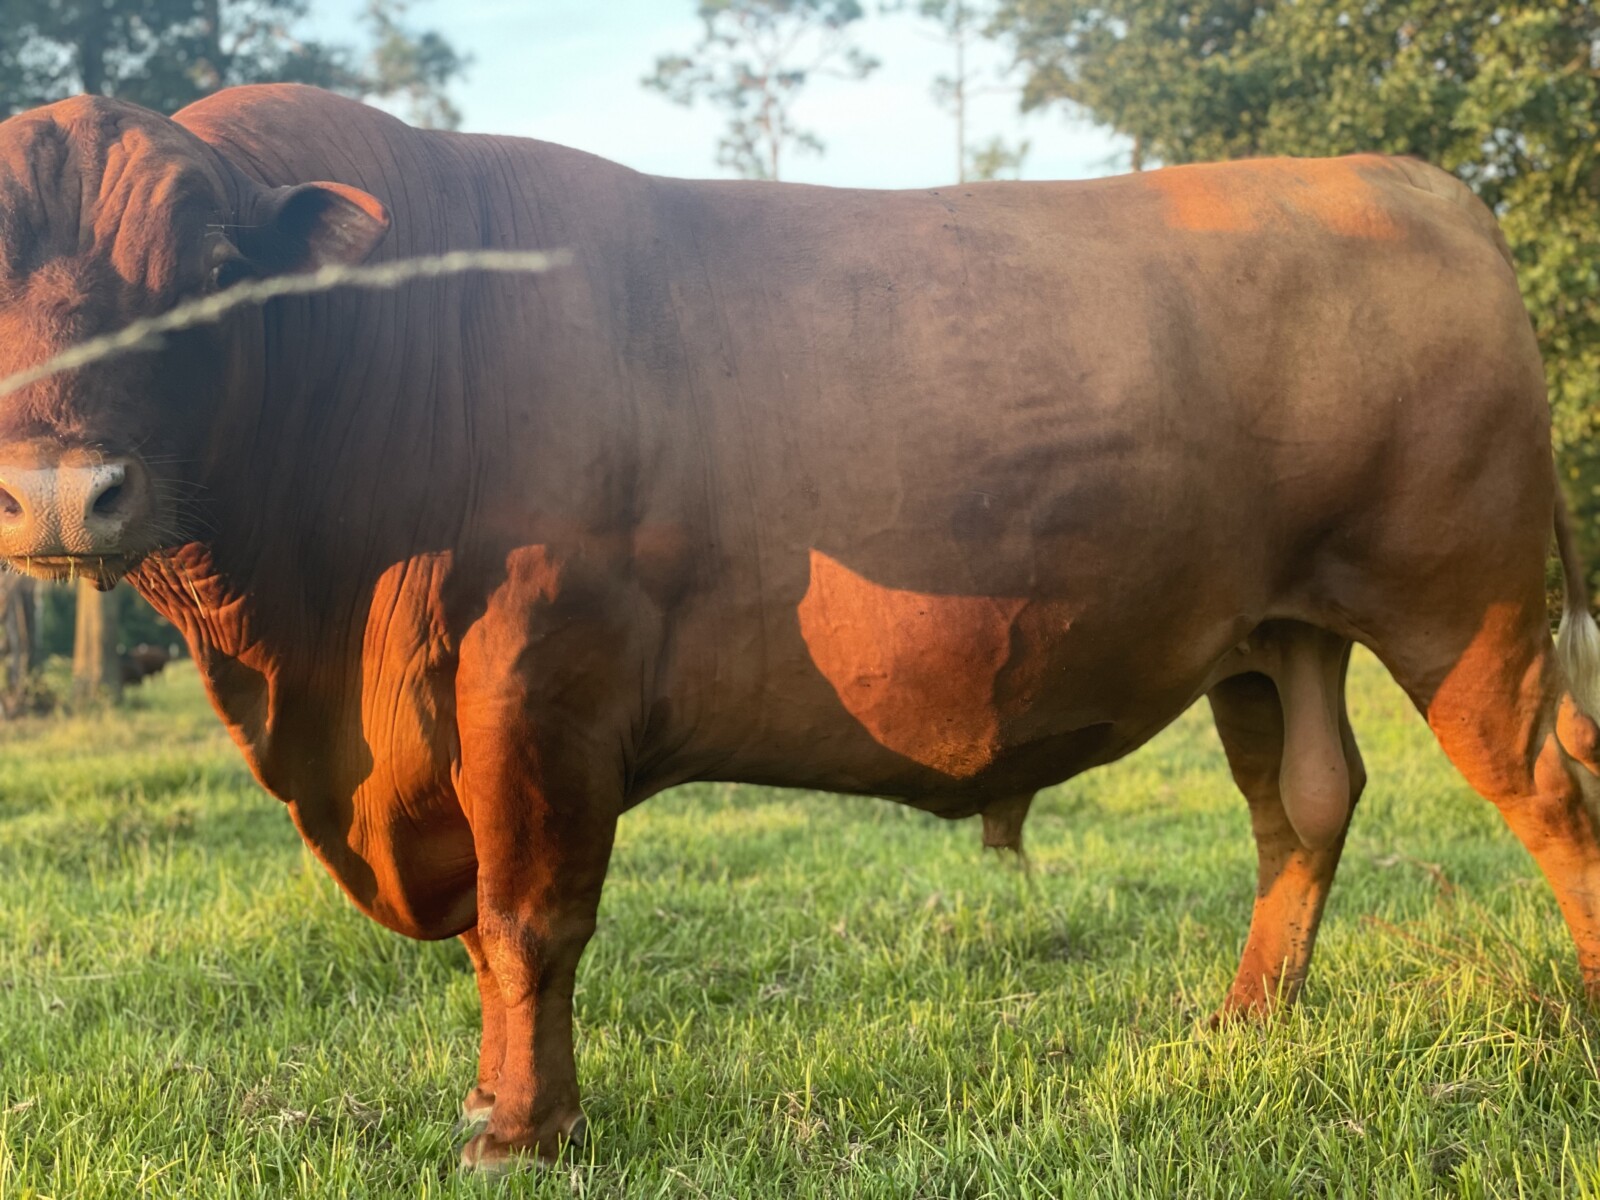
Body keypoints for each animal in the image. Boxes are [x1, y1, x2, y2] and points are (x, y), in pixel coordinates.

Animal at [0, 84, 1597, 1173]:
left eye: (212, 267)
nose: (65, 490)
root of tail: (1406, 177)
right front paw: (505, 1106)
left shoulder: (538, 677)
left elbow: (526, 922)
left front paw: (519, 1131)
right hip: (1270, 629)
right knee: (1307, 803)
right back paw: (1245, 1023)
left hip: (1465, 605)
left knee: (1549, 791)